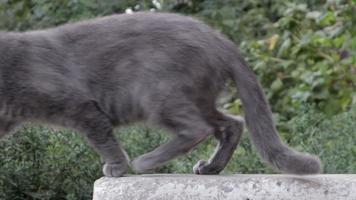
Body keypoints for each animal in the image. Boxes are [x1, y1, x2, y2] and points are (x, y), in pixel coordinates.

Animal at [0, 12, 322, 177]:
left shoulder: (83, 107)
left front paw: (117, 167)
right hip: (199, 96)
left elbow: (103, 138)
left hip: (157, 95)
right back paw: (210, 167)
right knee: (231, 123)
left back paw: (146, 161)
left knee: (196, 128)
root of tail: (219, 39)